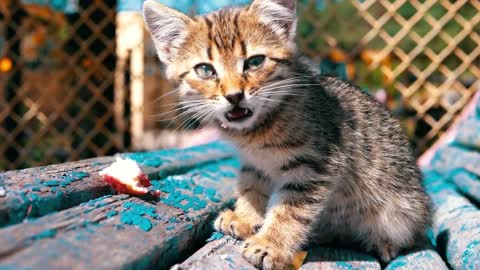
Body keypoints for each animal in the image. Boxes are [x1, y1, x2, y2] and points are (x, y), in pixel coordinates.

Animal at [142, 1, 432, 268]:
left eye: (255, 61)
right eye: (205, 70)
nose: (234, 96)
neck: (257, 132)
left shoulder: (315, 165)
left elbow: (290, 210)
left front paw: (271, 244)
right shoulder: (254, 162)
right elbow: (251, 185)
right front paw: (246, 217)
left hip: (402, 211)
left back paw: (384, 243)